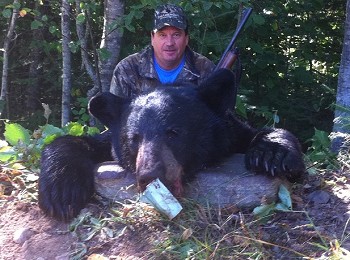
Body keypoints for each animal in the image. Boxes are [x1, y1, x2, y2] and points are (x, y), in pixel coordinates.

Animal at [38, 68, 304, 220]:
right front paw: (61, 192)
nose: (149, 174)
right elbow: (72, 142)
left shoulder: (232, 132)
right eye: (134, 137)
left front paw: (272, 155)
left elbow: (267, 132)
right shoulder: (108, 140)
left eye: (174, 132)